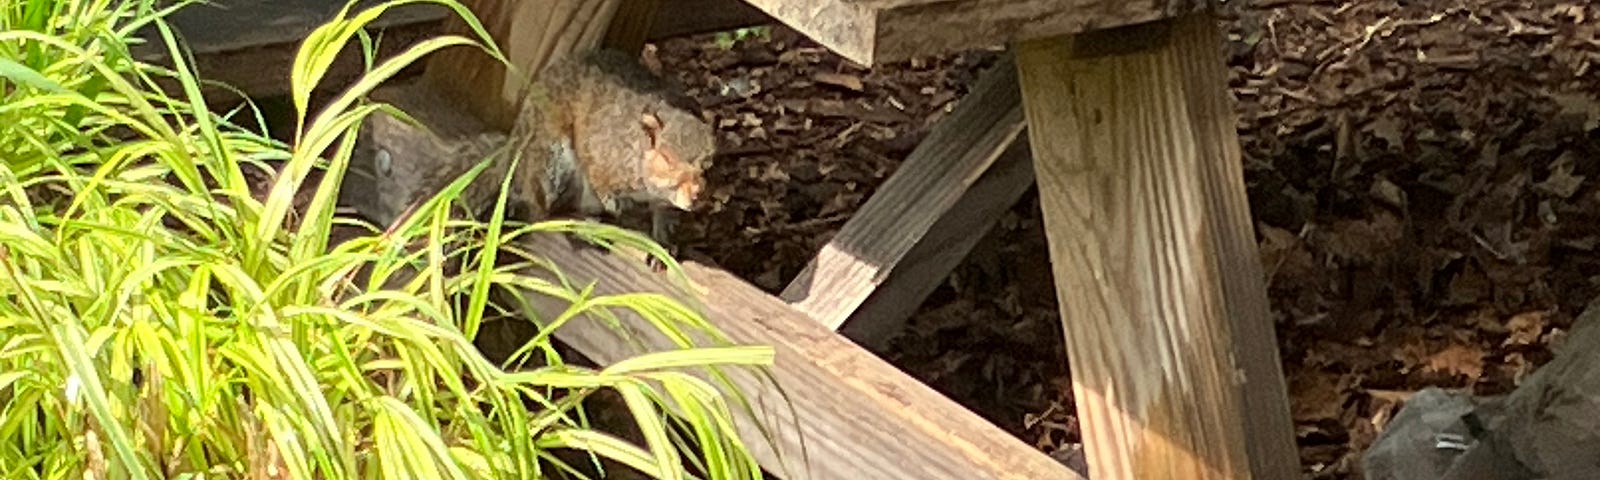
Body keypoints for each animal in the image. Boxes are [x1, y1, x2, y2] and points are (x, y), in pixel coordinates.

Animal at [347, 48, 716, 257]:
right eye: (667, 159)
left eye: (709, 163)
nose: (698, 196)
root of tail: (517, 156)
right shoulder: (601, 153)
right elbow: (604, 185)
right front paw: (623, 214)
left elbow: (663, 214)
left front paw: (664, 240)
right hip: (551, 162)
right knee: (540, 210)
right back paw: (579, 219)